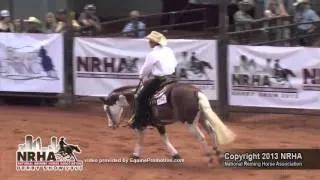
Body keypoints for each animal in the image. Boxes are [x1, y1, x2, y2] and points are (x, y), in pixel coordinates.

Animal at [100, 81, 235, 167]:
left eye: (106, 109)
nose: (110, 126)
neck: (134, 98)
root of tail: (196, 92)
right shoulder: (159, 124)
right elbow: (164, 139)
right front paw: (175, 155)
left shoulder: (141, 124)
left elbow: (140, 139)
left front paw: (135, 155)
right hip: (202, 118)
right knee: (212, 132)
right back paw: (219, 156)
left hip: (190, 123)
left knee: (201, 138)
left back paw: (210, 159)